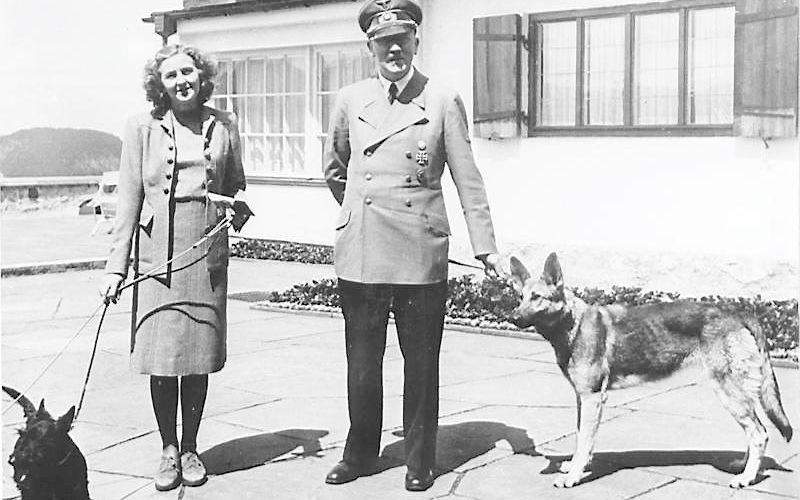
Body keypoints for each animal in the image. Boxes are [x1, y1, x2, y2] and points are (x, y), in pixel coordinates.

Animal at [506, 254, 792, 488]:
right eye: (520, 297)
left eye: (537, 297)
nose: (513, 317)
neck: (571, 325)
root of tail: (739, 312)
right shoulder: (582, 399)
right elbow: (581, 439)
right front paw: (576, 466)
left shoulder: (592, 398)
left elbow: (585, 440)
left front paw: (574, 476)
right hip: (737, 396)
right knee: (755, 432)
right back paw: (744, 468)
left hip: (729, 393)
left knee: (759, 433)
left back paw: (746, 478)